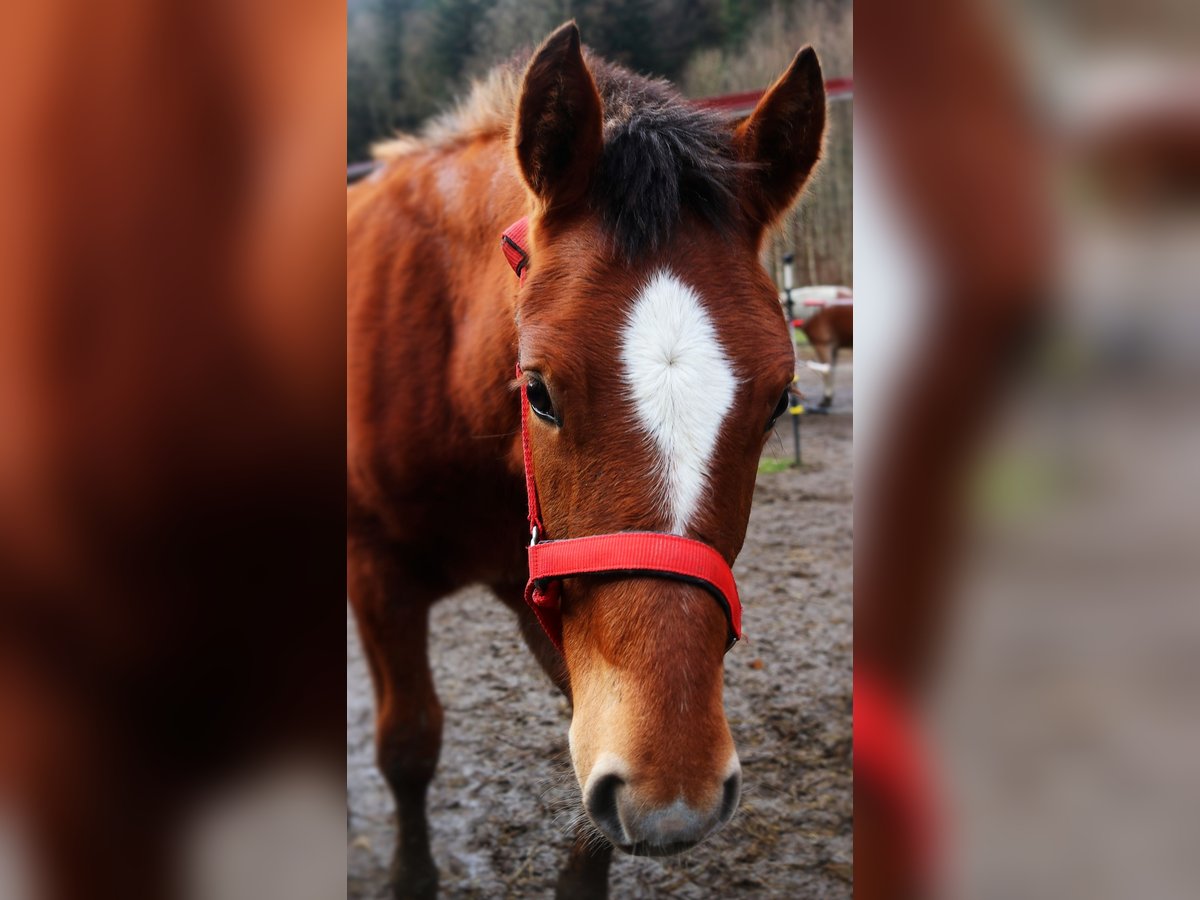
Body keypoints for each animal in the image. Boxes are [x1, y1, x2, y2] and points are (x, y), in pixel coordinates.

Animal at [348, 22, 825, 900]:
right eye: (537, 390)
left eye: (781, 399)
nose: (677, 799)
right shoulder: (376, 571)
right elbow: (408, 744)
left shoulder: (548, 590)